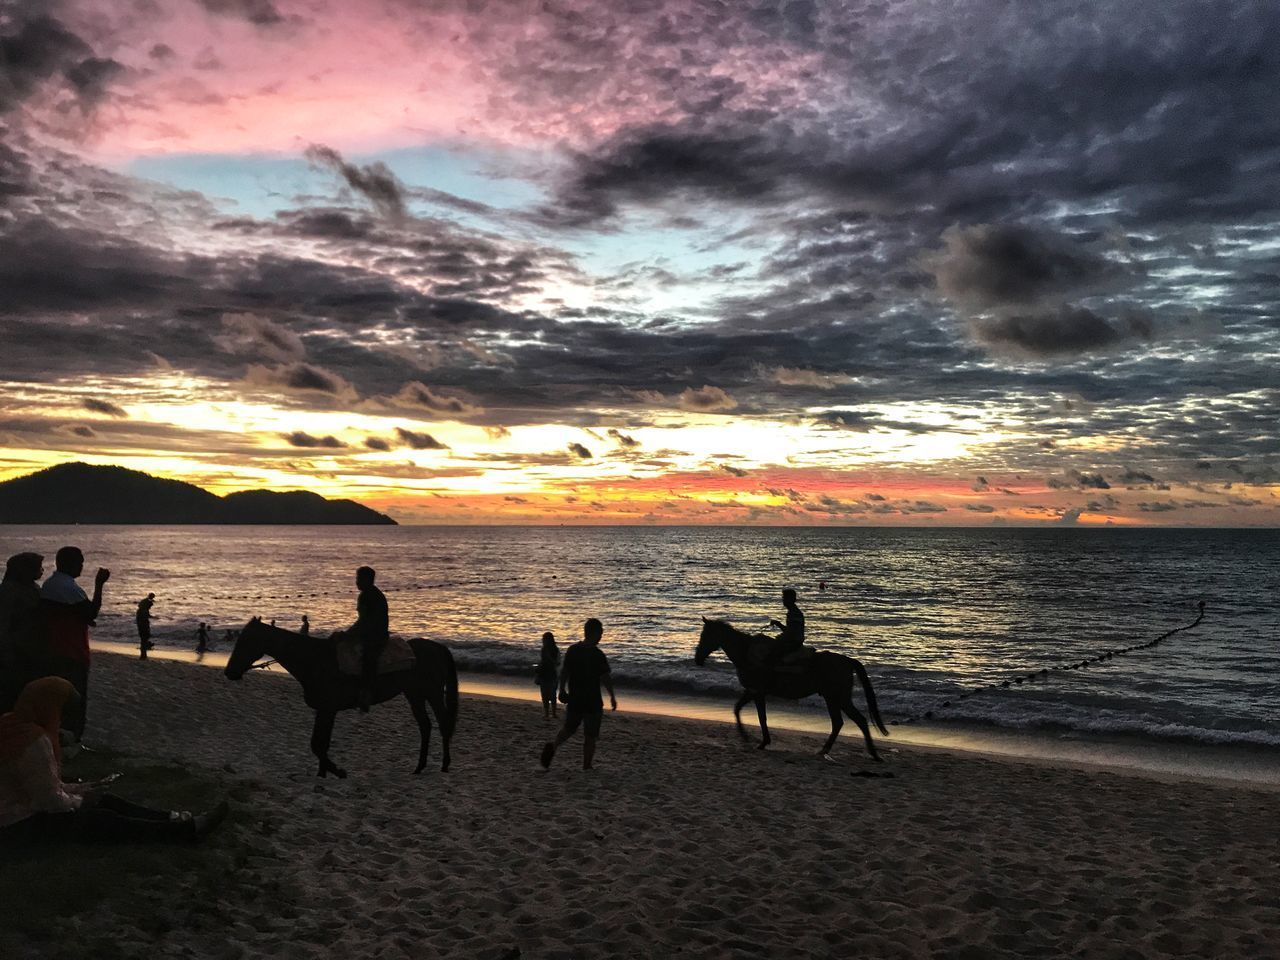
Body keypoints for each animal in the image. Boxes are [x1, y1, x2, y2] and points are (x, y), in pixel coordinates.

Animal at [222, 619, 458, 778]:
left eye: (246, 641)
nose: (229, 672)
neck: (315, 660)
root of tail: (438, 647)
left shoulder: (328, 709)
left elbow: (318, 744)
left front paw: (336, 771)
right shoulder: (324, 710)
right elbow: (320, 742)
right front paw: (322, 774)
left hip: (432, 693)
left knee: (443, 723)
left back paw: (445, 765)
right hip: (414, 694)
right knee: (425, 726)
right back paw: (419, 767)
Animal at [691, 619, 890, 762]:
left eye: (706, 635)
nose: (697, 658)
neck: (747, 653)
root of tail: (848, 661)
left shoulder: (758, 692)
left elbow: (761, 717)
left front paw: (762, 742)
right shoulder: (752, 691)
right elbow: (737, 709)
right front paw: (746, 737)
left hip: (839, 697)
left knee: (858, 721)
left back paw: (873, 754)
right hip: (832, 698)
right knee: (839, 723)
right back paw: (825, 750)